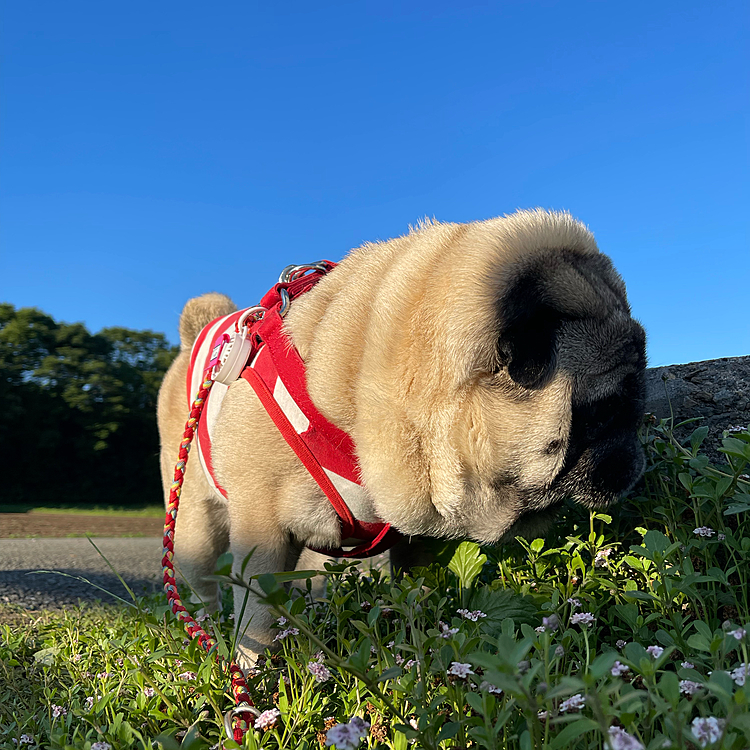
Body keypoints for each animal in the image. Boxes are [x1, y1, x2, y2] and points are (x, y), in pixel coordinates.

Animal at [157, 209, 648, 668]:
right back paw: (209, 638)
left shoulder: (417, 538)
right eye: (604, 411)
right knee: (204, 590)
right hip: (196, 530)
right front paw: (255, 673)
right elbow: (257, 617)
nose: (635, 461)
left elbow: (416, 590)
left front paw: (424, 640)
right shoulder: (262, 533)